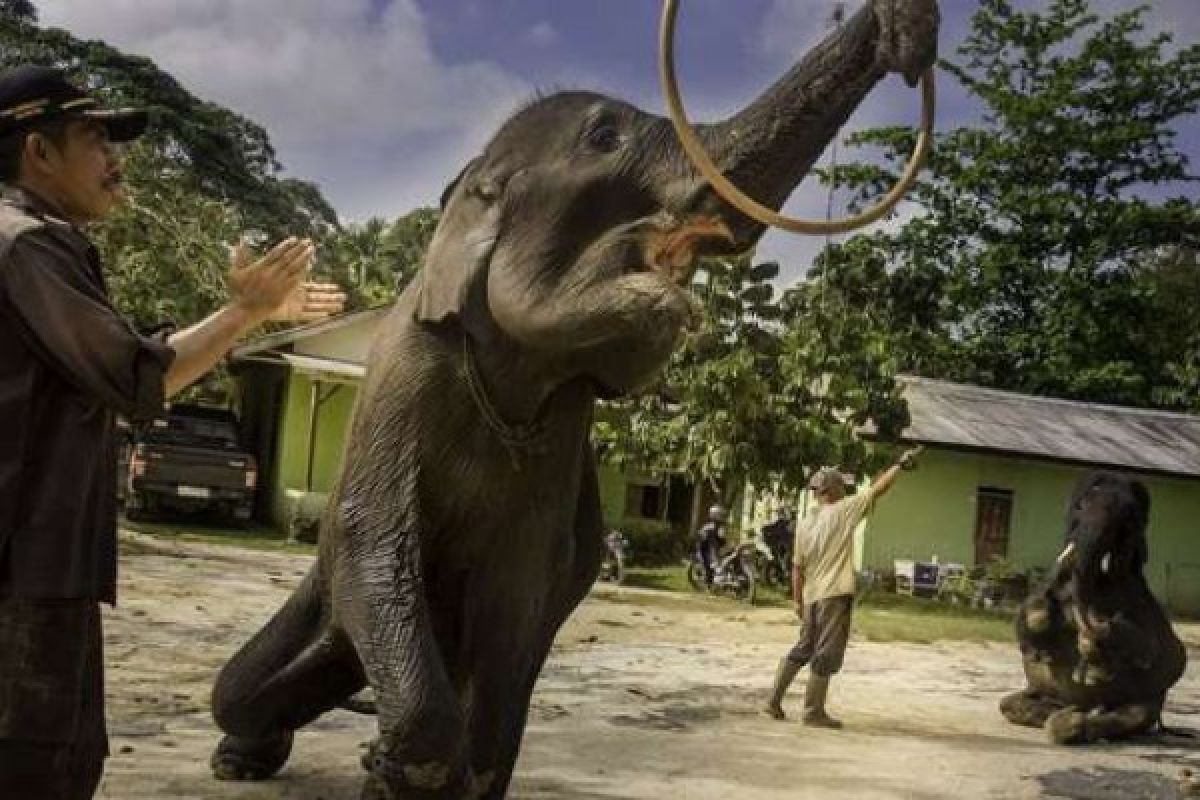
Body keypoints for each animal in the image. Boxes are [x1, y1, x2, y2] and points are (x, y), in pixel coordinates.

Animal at [206, 3, 936, 796]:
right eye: (604, 139)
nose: (905, 39)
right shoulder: (403, 374)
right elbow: (376, 531)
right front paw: (402, 764)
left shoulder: (562, 430)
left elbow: (522, 585)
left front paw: (422, 772)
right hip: (330, 589)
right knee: (242, 683)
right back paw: (242, 757)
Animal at [998, 472, 1185, 748]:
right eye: (1079, 506)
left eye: (1129, 518)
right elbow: (1030, 614)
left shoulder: (1136, 596)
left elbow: (1156, 649)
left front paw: (1094, 654)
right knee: (1008, 704)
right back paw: (1061, 710)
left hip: (1150, 700)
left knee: (1136, 715)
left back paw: (1076, 718)